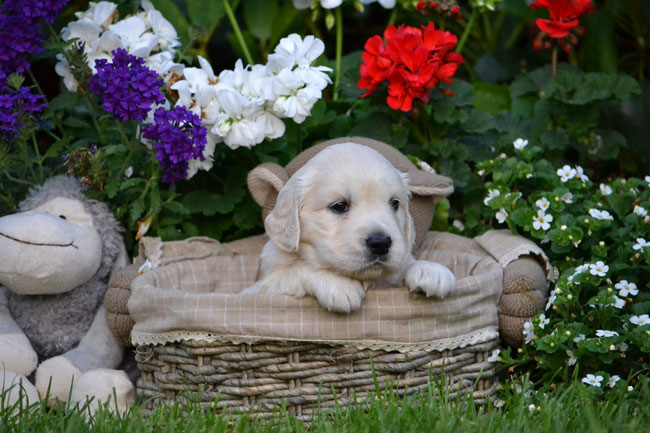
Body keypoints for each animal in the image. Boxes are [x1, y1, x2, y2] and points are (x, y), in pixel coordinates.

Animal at [244, 143, 456, 312]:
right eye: (339, 206)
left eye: (395, 204)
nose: (380, 243)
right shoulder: (259, 290)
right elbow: (294, 271)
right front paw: (337, 283)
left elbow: (404, 264)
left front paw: (430, 270)